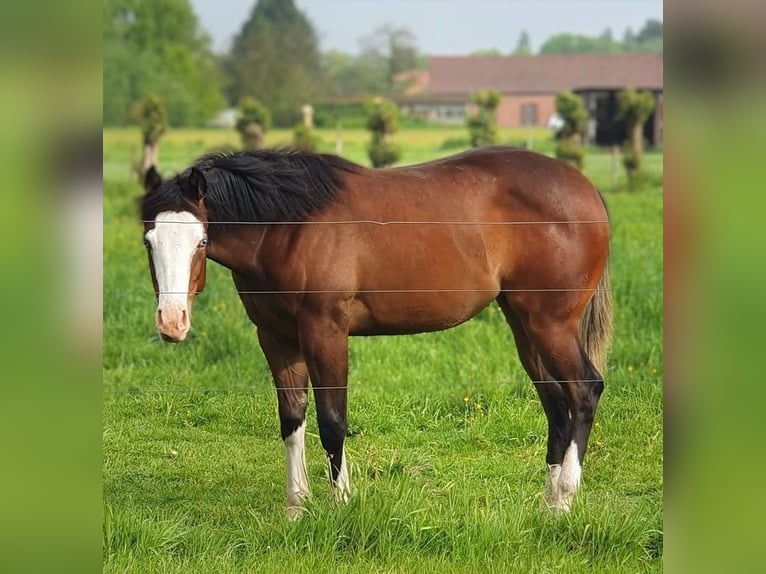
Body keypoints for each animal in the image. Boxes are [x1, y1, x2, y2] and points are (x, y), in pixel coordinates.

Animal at [141, 146, 616, 520]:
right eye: (149, 240)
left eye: (201, 241)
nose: (172, 322)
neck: (290, 225)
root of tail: (587, 192)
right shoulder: (276, 338)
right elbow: (292, 420)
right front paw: (296, 507)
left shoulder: (325, 331)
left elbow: (332, 422)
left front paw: (341, 503)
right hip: (524, 323)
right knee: (557, 406)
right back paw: (547, 506)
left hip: (550, 325)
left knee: (584, 391)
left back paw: (564, 501)